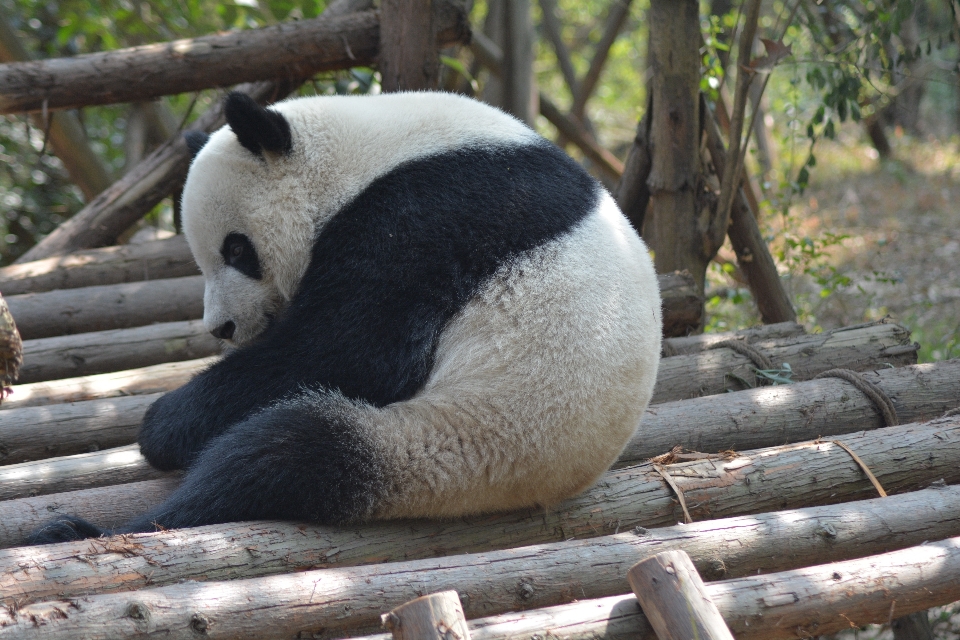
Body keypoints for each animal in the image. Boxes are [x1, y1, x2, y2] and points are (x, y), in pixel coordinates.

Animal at [30, 89, 660, 540]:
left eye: (237, 250)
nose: (223, 328)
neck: (361, 152)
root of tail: (544, 485)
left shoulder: (430, 215)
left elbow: (349, 349)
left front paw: (163, 423)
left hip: (458, 440)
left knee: (280, 456)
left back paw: (84, 531)